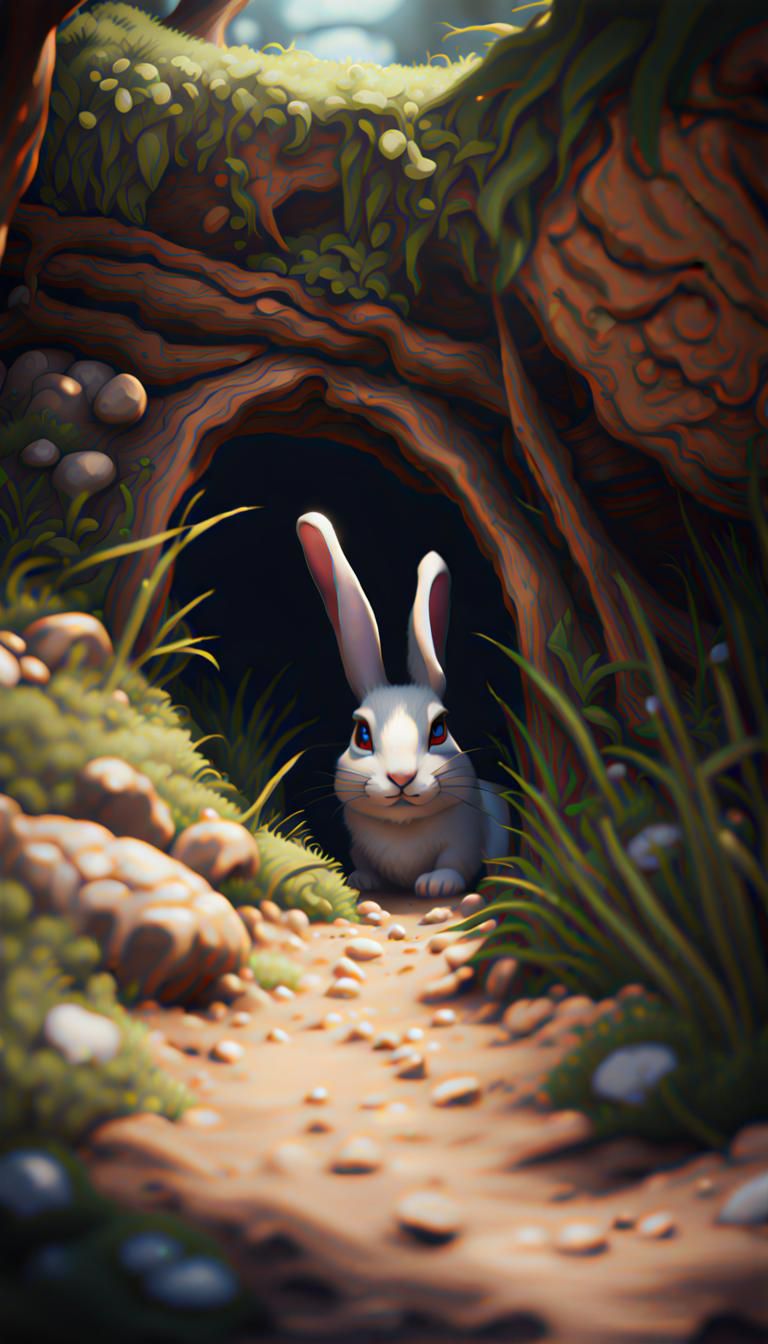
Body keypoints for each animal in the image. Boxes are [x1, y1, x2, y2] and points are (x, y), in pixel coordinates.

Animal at [296, 511, 510, 899]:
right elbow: (365, 865)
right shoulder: (359, 847)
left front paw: (436, 885)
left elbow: (454, 864)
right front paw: (361, 881)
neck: (403, 823)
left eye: (439, 730)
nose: (400, 777)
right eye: (362, 735)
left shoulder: (464, 843)